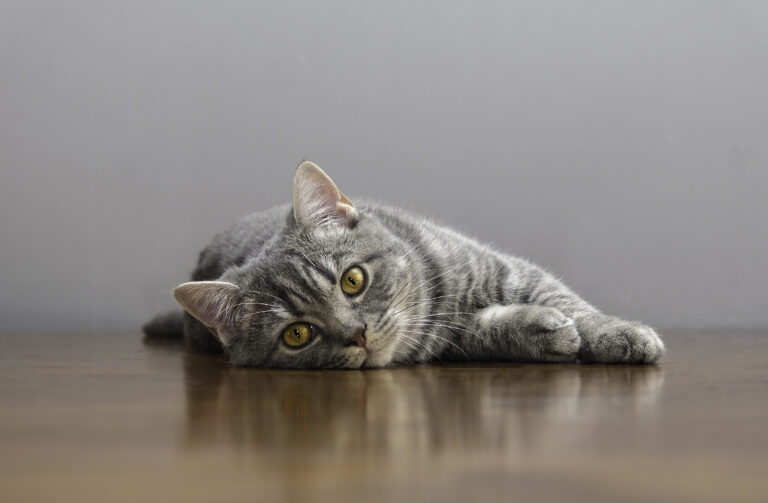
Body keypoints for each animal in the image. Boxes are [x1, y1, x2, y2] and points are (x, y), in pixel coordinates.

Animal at [146, 163, 664, 368]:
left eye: (353, 280)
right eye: (297, 334)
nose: (357, 335)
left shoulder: (507, 270)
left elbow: (569, 301)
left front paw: (618, 334)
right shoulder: (452, 340)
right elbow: (487, 331)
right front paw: (539, 331)